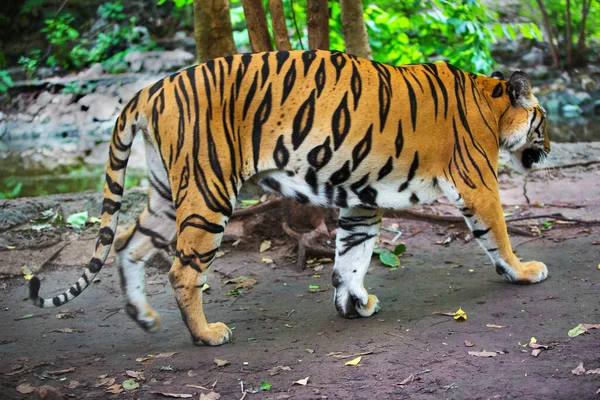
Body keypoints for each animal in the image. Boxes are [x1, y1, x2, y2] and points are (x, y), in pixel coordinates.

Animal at [30, 49, 552, 344]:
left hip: (165, 194)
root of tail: (152, 87)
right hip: (207, 193)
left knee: (127, 246)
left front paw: (354, 303)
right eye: (543, 123)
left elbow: (351, 257)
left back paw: (143, 317)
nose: (548, 149)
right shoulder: (478, 182)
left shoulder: (360, 202)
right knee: (182, 270)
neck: (490, 103)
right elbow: (499, 235)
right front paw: (525, 272)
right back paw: (206, 335)